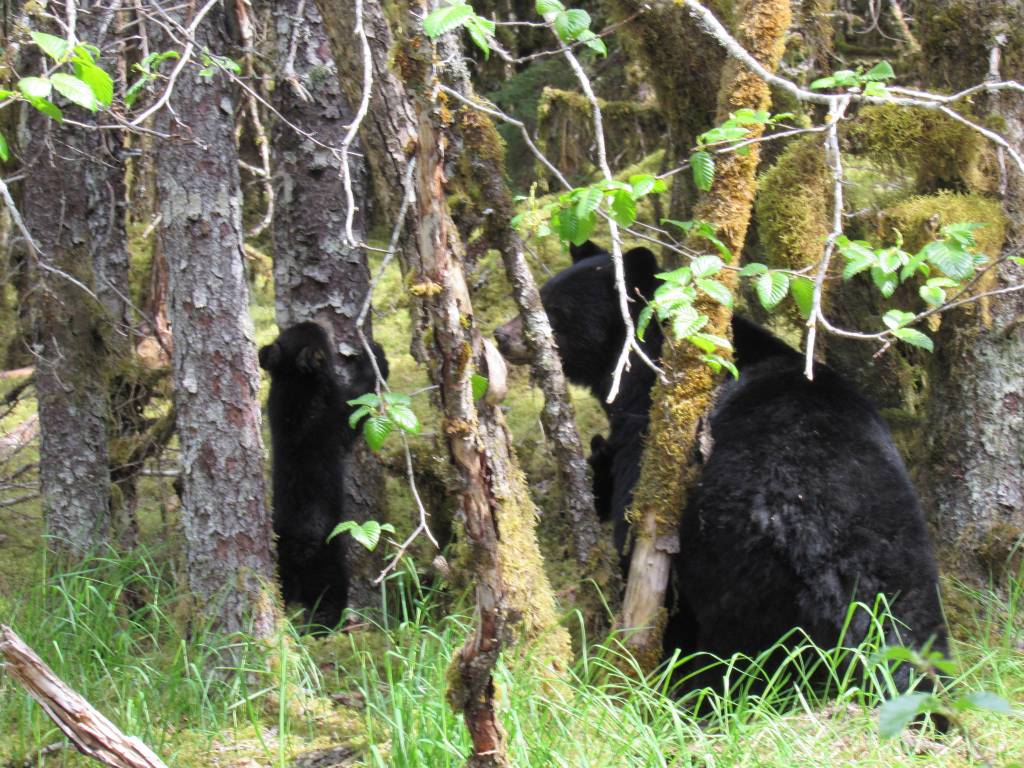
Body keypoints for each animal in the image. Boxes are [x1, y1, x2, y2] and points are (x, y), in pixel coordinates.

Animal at [258, 321, 388, 629]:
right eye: (318, 334)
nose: (315, 322)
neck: (292, 384)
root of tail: (293, 551)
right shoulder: (332, 414)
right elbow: (358, 402)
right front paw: (375, 355)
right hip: (327, 568)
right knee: (326, 603)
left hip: (283, 574)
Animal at [494, 240, 947, 700]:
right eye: (543, 293)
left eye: (553, 309)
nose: (501, 335)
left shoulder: (649, 444)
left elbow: (637, 539)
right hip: (905, 578)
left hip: (739, 570)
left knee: (731, 656)